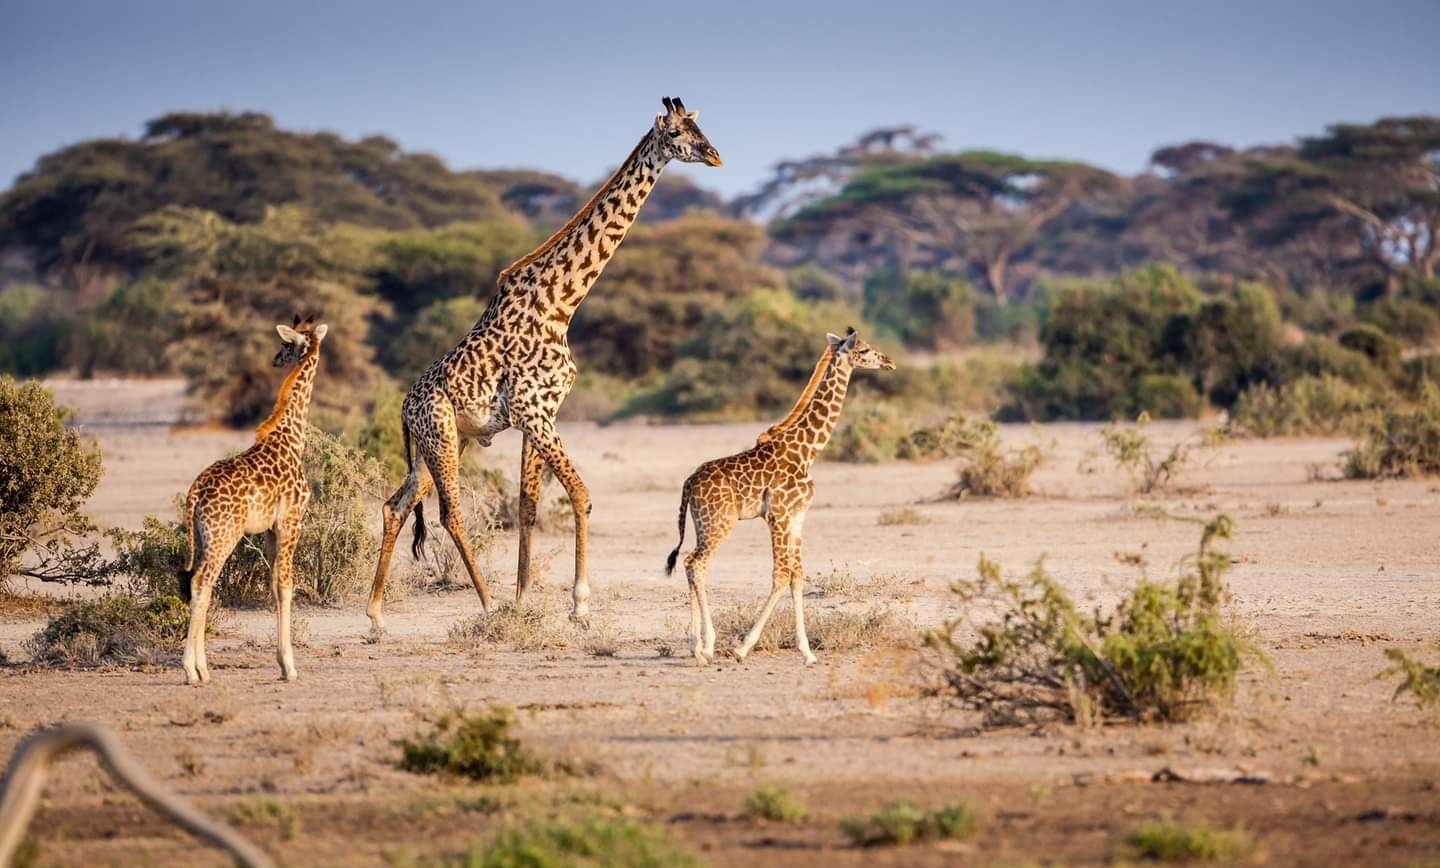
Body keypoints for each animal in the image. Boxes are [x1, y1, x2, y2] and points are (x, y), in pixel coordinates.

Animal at [368, 98, 720, 636]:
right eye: (679, 133)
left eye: (703, 128)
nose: (716, 155)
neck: (562, 303)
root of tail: (405, 408)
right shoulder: (534, 411)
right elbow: (580, 494)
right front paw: (577, 605)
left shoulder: (543, 412)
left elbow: (528, 506)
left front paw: (524, 598)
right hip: (442, 437)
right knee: (450, 513)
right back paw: (486, 603)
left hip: (445, 443)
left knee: (395, 506)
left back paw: (377, 616)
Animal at [662, 331, 887, 665]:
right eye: (865, 350)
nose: (889, 361)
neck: (808, 450)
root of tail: (689, 482)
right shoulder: (777, 515)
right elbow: (780, 575)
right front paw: (742, 648)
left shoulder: (797, 517)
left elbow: (797, 575)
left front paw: (807, 652)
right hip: (720, 523)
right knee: (696, 564)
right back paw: (705, 648)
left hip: (703, 523)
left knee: (690, 561)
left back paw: (696, 646)